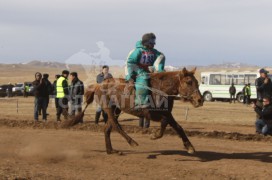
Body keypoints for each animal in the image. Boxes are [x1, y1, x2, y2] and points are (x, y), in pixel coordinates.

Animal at [73, 67, 203, 155]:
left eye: (197, 82)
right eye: (188, 82)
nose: (200, 100)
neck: (160, 89)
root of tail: (99, 84)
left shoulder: (167, 113)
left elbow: (175, 126)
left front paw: (189, 146)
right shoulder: (153, 114)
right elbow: (169, 123)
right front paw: (155, 135)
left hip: (116, 110)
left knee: (107, 128)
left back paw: (111, 150)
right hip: (108, 108)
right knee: (116, 125)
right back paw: (132, 142)